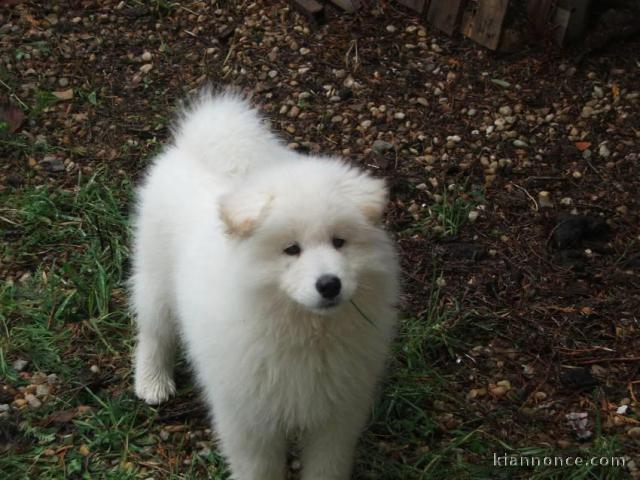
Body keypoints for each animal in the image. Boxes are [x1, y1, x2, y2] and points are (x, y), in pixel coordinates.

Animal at [129, 91, 398, 480]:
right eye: (291, 249)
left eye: (339, 242)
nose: (329, 285)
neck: (304, 331)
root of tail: (196, 145)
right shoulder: (249, 419)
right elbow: (259, 468)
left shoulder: (337, 416)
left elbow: (327, 465)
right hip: (156, 274)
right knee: (154, 331)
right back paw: (152, 382)